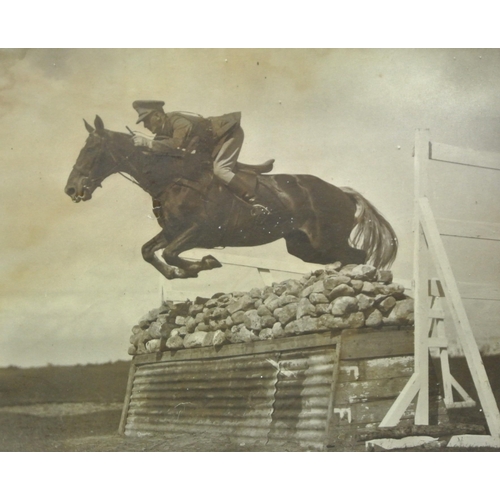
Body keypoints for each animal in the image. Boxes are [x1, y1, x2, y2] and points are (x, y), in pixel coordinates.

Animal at [63, 116, 398, 282]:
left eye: (91, 150)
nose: (71, 189)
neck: (171, 179)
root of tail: (343, 192)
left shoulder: (199, 231)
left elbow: (170, 253)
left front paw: (204, 264)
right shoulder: (174, 231)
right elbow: (149, 252)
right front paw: (179, 273)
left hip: (325, 240)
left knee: (358, 255)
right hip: (303, 247)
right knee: (349, 256)